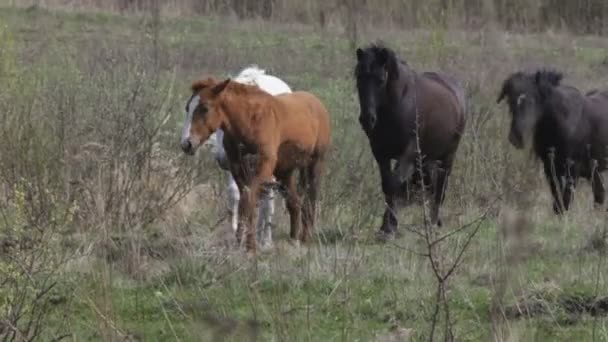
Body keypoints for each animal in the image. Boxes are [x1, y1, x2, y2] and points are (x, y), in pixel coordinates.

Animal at [202, 66, 292, 248]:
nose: (221, 159)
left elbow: (266, 203)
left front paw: (264, 240)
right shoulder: (234, 167)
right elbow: (236, 194)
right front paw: (236, 230)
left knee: (267, 200)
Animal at [354, 44, 468, 239]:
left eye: (381, 79)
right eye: (359, 77)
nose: (367, 119)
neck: (397, 105)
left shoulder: (407, 153)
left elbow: (395, 184)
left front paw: (389, 228)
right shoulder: (380, 153)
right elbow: (388, 186)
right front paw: (385, 226)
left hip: (448, 156)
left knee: (441, 187)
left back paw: (433, 224)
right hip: (427, 158)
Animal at [496, 69, 608, 214]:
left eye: (534, 100)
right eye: (510, 101)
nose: (516, 137)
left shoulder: (572, 170)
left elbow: (565, 202)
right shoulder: (550, 168)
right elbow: (557, 202)